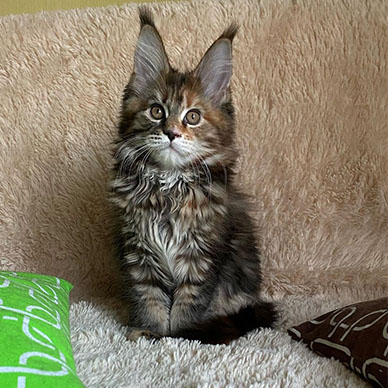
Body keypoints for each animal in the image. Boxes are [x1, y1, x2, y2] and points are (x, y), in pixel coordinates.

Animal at [110, 8, 278, 342]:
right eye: (156, 111)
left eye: (193, 116)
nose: (172, 133)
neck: (168, 185)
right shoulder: (139, 253)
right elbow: (149, 298)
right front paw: (149, 331)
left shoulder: (203, 257)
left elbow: (188, 305)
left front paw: (181, 336)